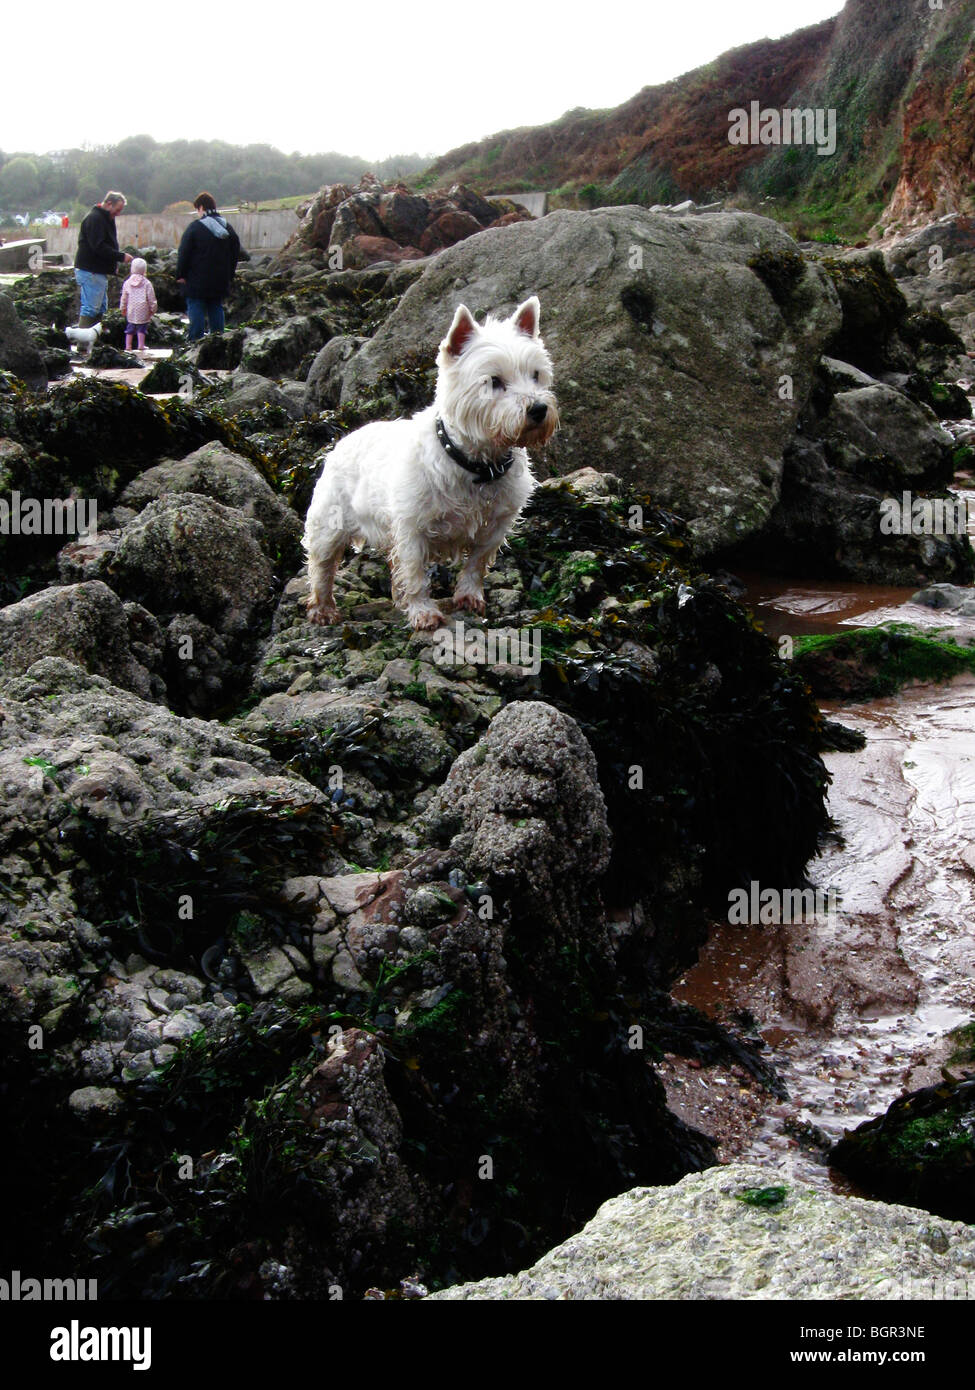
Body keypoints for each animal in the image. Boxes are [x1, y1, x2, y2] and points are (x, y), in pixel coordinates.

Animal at [300, 304, 559, 636]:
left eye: (536, 375)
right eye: (494, 381)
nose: (539, 409)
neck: (477, 465)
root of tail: (341, 441)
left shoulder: (496, 525)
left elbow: (476, 563)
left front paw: (469, 597)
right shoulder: (412, 528)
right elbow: (415, 574)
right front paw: (424, 612)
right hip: (330, 523)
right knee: (322, 565)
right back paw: (323, 609)